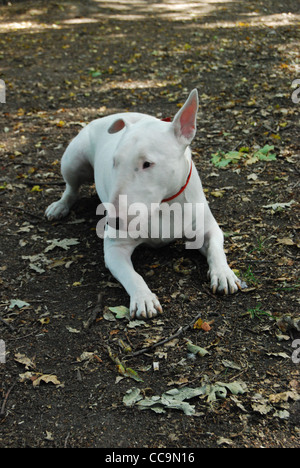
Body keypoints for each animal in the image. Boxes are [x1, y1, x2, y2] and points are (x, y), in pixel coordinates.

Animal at [45, 88, 241, 318]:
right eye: (114, 161)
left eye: (147, 164)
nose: (113, 222)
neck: (164, 205)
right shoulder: (115, 249)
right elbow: (133, 276)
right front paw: (143, 298)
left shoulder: (207, 229)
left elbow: (216, 248)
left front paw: (224, 273)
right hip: (73, 161)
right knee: (71, 188)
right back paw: (59, 206)